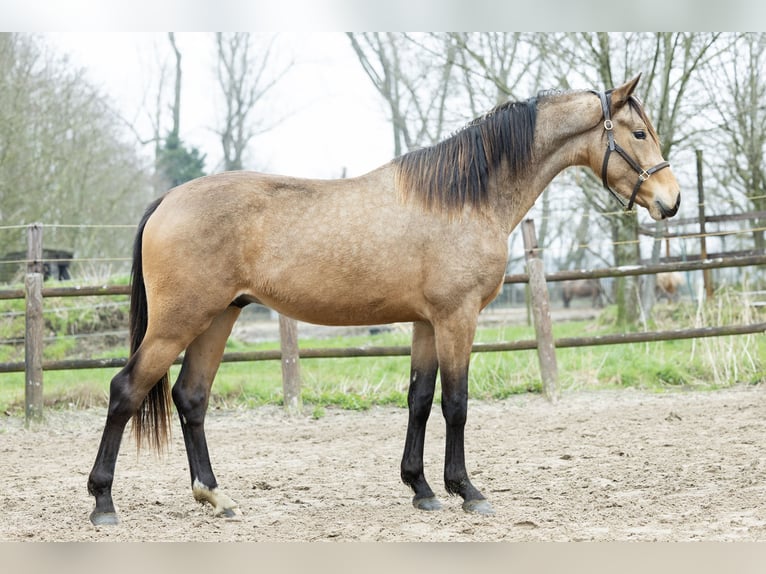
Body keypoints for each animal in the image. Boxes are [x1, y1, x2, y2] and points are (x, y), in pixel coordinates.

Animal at [87, 75, 680, 525]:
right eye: (639, 132)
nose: (671, 201)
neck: (465, 197)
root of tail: (169, 198)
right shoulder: (457, 318)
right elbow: (456, 404)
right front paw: (467, 491)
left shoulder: (425, 323)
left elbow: (419, 400)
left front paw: (422, 489)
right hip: (178, 322)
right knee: (125, 390)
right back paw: (103, 502)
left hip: (217, 319)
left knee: (191, 398)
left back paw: (215, 496)